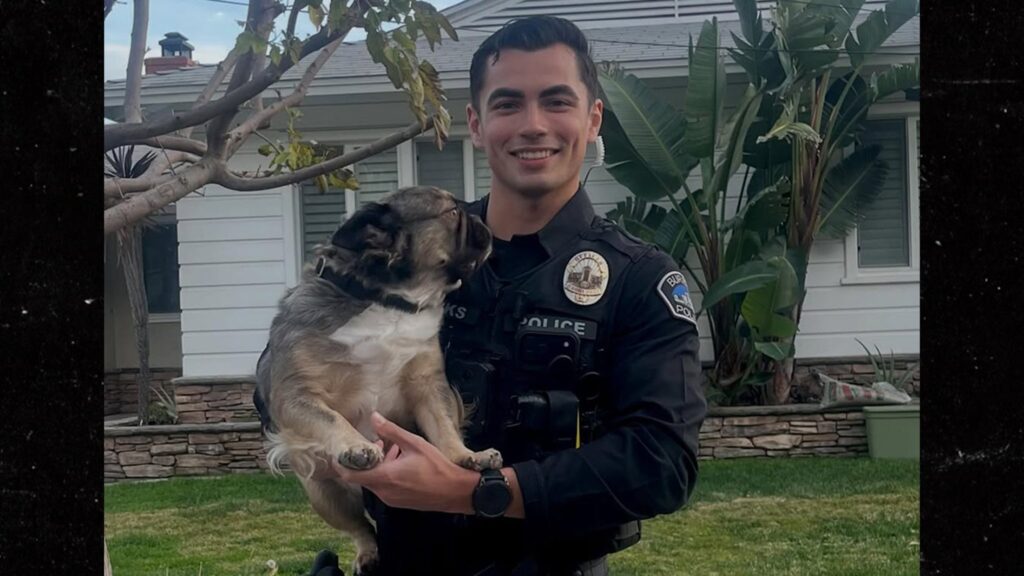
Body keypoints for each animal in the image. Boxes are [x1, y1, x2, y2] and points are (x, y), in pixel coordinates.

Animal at [255, 186, 501, 575]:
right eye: (451, 213)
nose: (480, 220)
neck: (388, 300)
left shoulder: (428, 386)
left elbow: (444, 428)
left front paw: (466, 456)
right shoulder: (296, 394)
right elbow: (330, 417)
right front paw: (355, 445)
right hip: (324, 493)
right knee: (361, 527)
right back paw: (367, 554)